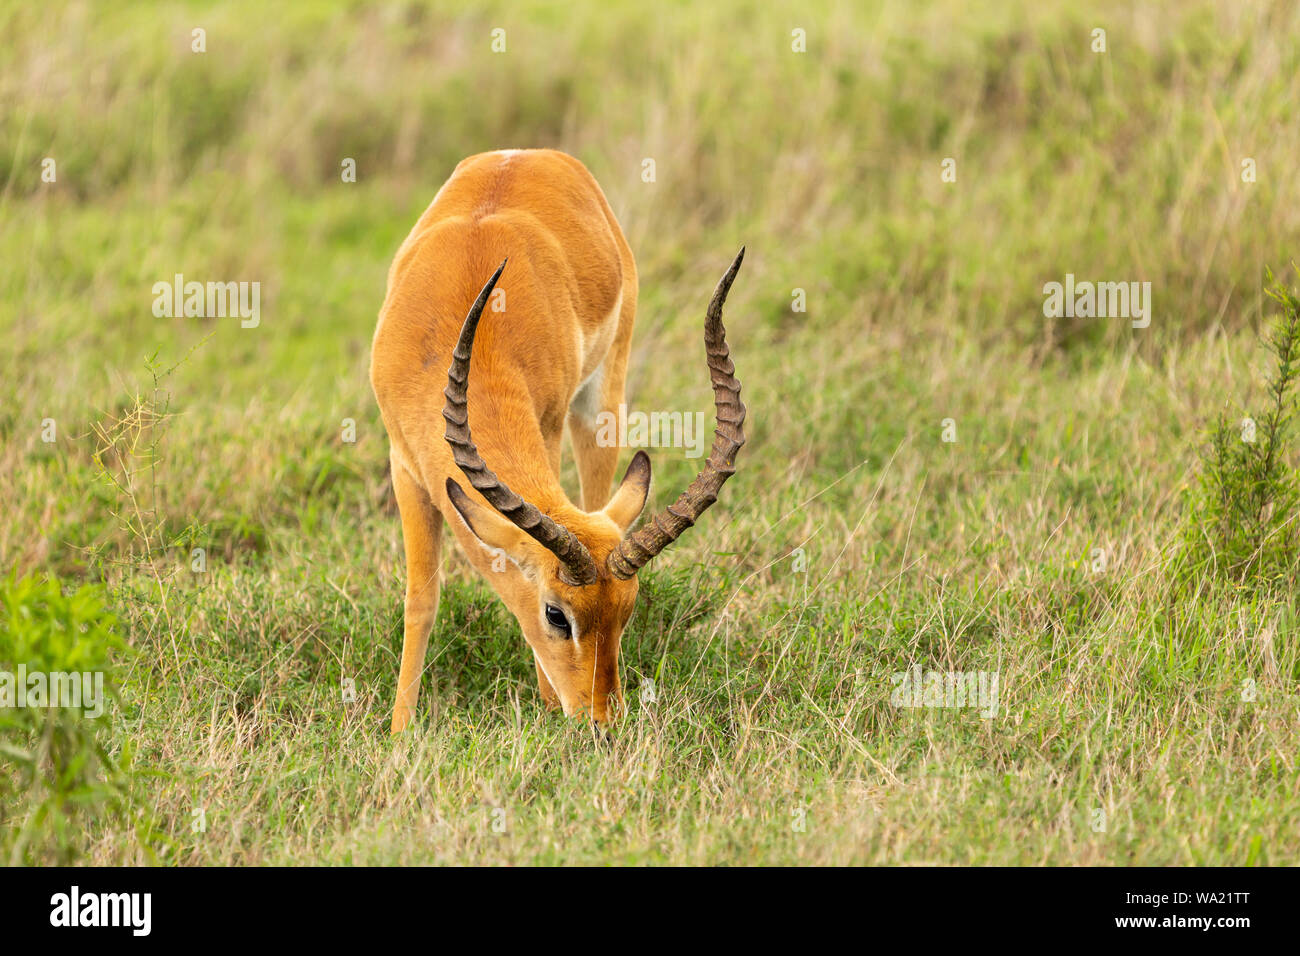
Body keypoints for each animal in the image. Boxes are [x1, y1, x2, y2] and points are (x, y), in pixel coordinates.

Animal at [369, 148, 745, 732]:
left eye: (627, 610)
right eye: (556, 613)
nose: (603, 720)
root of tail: (532, 154)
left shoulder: (546, 427)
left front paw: (546, 704)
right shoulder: (404, 464)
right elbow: (421, 598)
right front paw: (399, 732)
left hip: (600, 402)